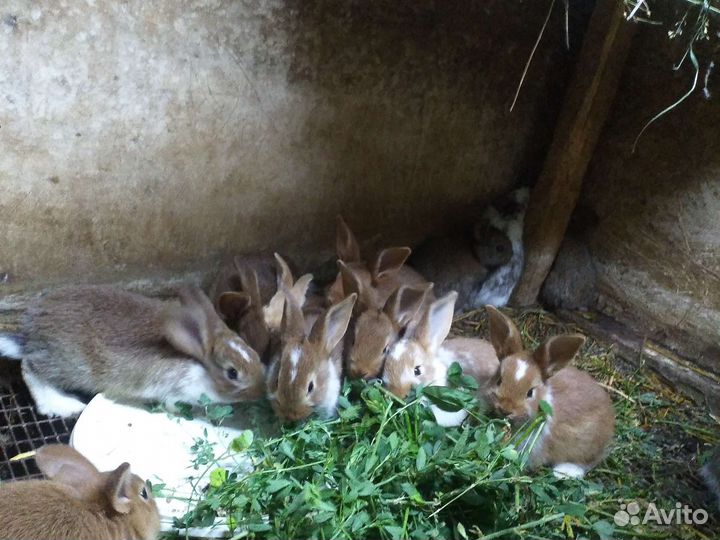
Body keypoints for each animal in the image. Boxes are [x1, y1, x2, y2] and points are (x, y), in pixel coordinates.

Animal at [5, 285, 266, 417]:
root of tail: (29, 334)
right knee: (29, 367)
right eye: (232, 373)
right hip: (67, 364)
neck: (199, 363)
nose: (259, 393)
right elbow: (172, 405)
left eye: (255, 355)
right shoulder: (175, 389)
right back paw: (63, 406)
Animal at [485, 305, 614, 478]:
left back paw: (565, 471)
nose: (505, 409)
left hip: (587, 447)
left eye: (530, 393)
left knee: (589, 462)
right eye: (499, 380)